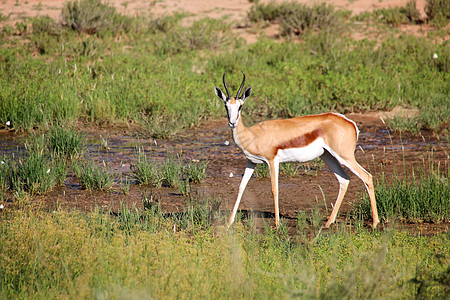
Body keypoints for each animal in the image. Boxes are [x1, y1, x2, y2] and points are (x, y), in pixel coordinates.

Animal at [214, 71, 380, 229]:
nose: (232, 123)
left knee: (367, 177)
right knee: (344, 179)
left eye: (240, 106)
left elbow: (274, 189)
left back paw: (375, 223)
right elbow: (241, 187)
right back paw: (328, 223)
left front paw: (277, 224)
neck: (253, 134)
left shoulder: (272, 160)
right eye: (226, 106)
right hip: (328, 156)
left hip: (345, 157)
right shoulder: (251, 162)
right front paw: (229, 223)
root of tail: (350, 122)